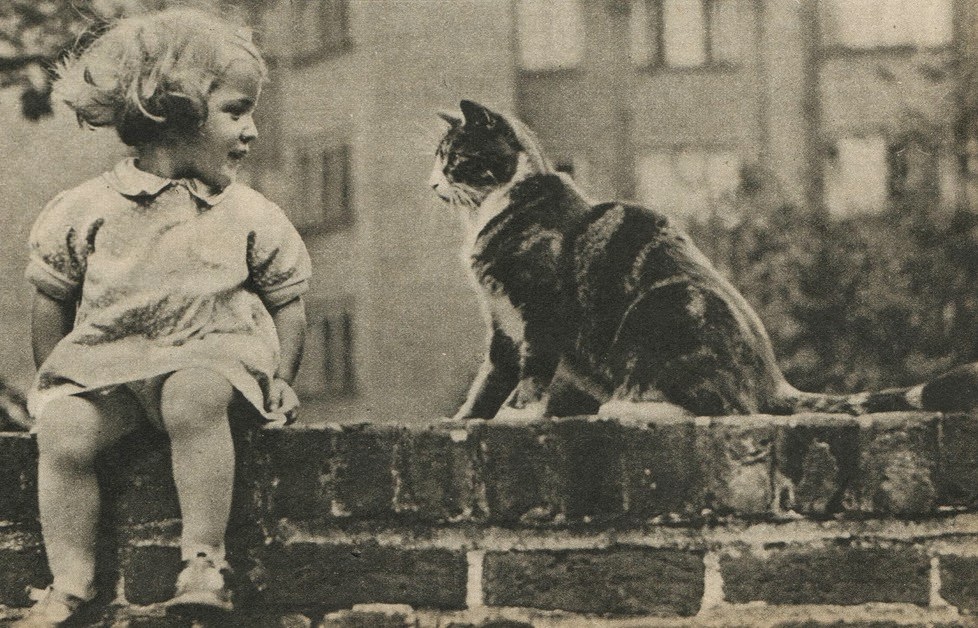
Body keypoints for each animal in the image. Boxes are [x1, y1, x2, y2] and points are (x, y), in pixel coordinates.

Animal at [428, 100, 978, 420]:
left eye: (453, 157)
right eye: (436, 158)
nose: (432, 184)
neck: (497, 208)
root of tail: (771, 377)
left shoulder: (541, 308)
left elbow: (533, 368)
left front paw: (519, 412)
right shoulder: (502, 321)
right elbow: (490, 378)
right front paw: (465, 421)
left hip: (661, 309)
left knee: (720, 407)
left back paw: (629, 409)